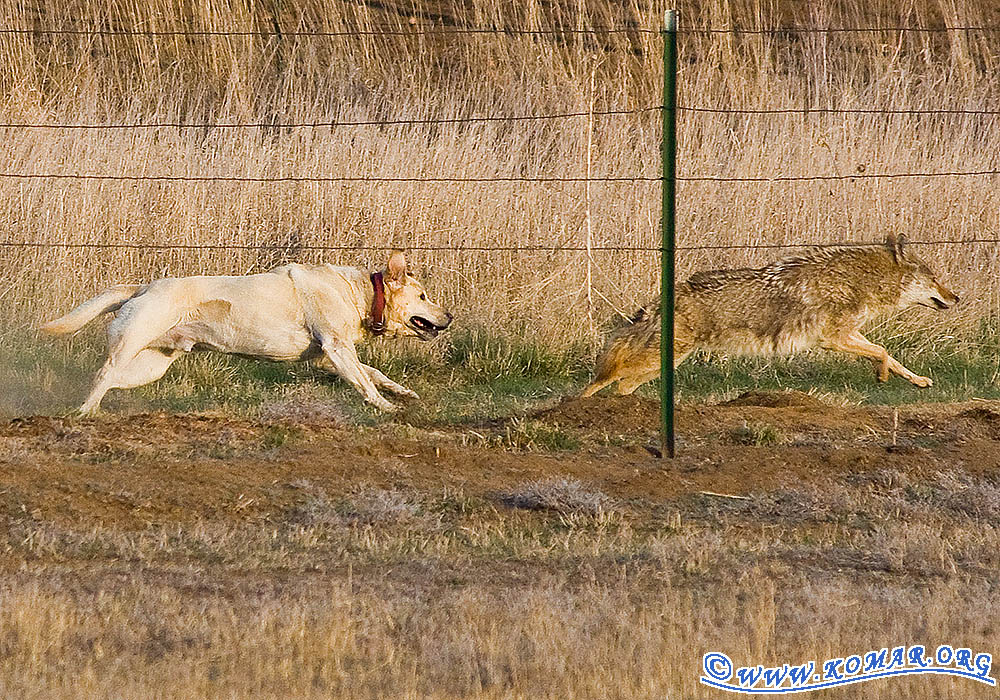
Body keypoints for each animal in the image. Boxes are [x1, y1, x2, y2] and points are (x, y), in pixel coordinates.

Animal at [41, 252, 452, 416]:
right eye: (423, 296)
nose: (449, 316)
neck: (359, 293)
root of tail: (142, 287)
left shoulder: (329, 357)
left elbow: (375, 374)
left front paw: (401, 392)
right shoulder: (337, 349)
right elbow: (364, 384)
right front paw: (386, 407)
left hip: (150, 368)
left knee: (111, 380)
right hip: (129, 346)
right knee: (102, 373)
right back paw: (84, 411)